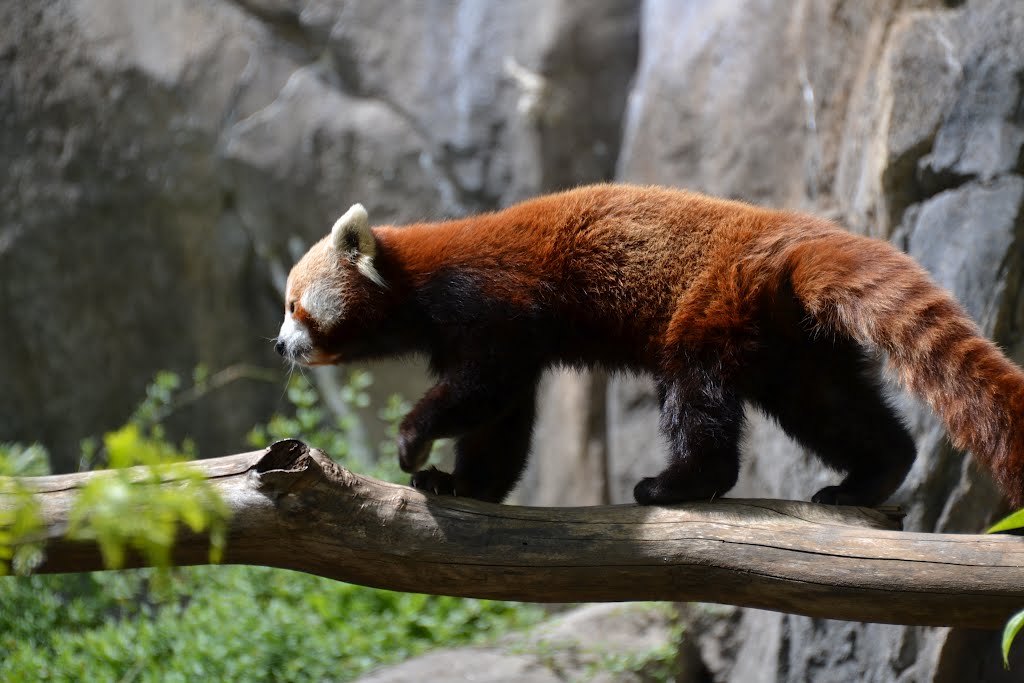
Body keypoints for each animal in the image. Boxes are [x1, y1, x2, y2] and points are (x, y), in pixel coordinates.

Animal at [276, 184, 1024, 509]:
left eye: (294, 307)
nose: (281, 346)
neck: (418, 279)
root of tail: (794, 236)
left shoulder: (493, 306)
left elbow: (483, 388)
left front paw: (414, 440)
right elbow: (501, 418)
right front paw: (463, 483)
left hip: (711, 304)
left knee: (695, 395)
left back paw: (678, 481)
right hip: (791, 342)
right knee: (831, 406)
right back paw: (872, 477)